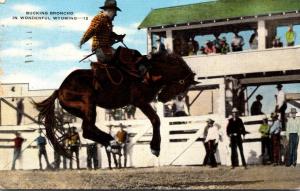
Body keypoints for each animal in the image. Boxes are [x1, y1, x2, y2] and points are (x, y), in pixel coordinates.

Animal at [34, 47, 197, 157]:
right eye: (182, 83)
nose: (163, 98)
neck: (149, 72)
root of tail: (59, 90)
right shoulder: (140, 101)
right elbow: (156, 120)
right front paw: (155, 147)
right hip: (88, 104)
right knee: (87, 129)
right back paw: (111, 142)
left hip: (82, 111)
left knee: (90, 128)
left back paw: (110, 142)